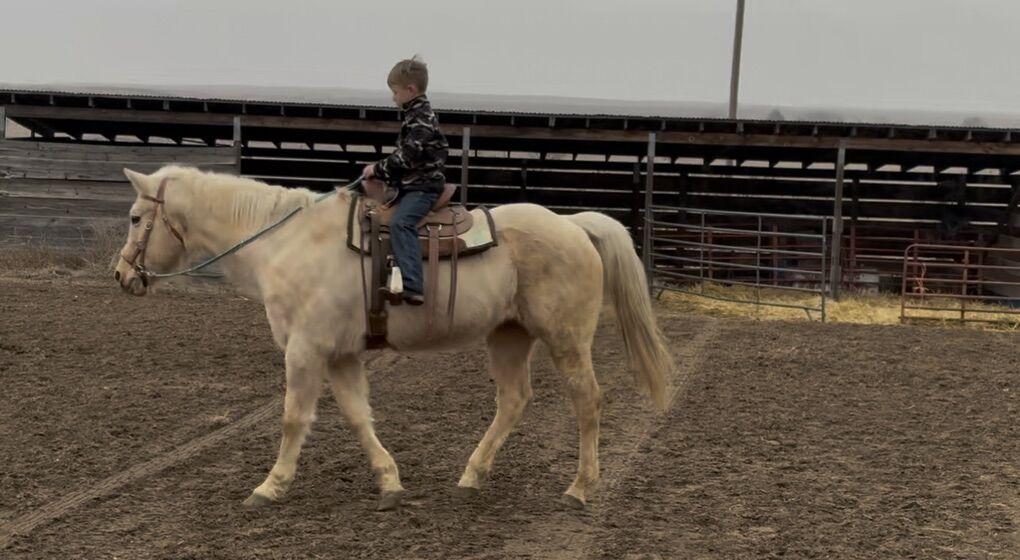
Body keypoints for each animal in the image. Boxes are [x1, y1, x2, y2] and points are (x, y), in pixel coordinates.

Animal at [113, 165, 674, 510]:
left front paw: (270, 487)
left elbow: (294, 418)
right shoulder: (340, 354)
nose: (121, 276)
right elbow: (359, 416)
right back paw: (472, 475)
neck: (286, 242)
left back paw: (579, 488)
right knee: (514, 400)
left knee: (588, 402)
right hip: (508, 336)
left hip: (566, 340)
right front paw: (390, 481)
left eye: (137, 217)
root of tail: (574, 225)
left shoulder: (305, 350)